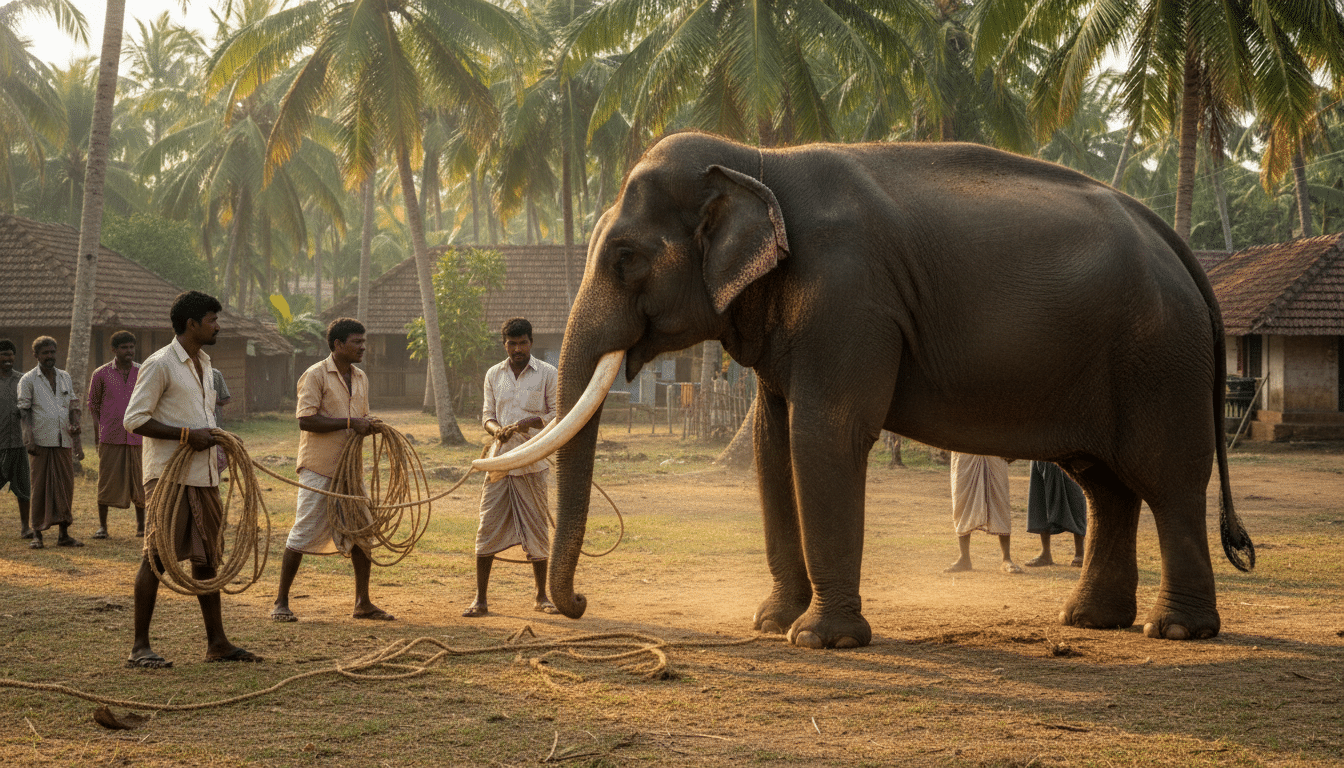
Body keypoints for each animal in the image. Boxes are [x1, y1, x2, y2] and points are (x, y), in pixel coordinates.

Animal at [477, 131, 1255, 649]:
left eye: (625, 257)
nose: (578, 603)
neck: (759, 159)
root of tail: (1177, 244)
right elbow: (771, 445)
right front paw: (772, 622)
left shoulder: (849, 298)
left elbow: (824, 435)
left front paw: (820, 639)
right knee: (1105, 484)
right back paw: (1090, 620)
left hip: (1160, 359)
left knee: (1166, 480)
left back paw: (1176, 630)